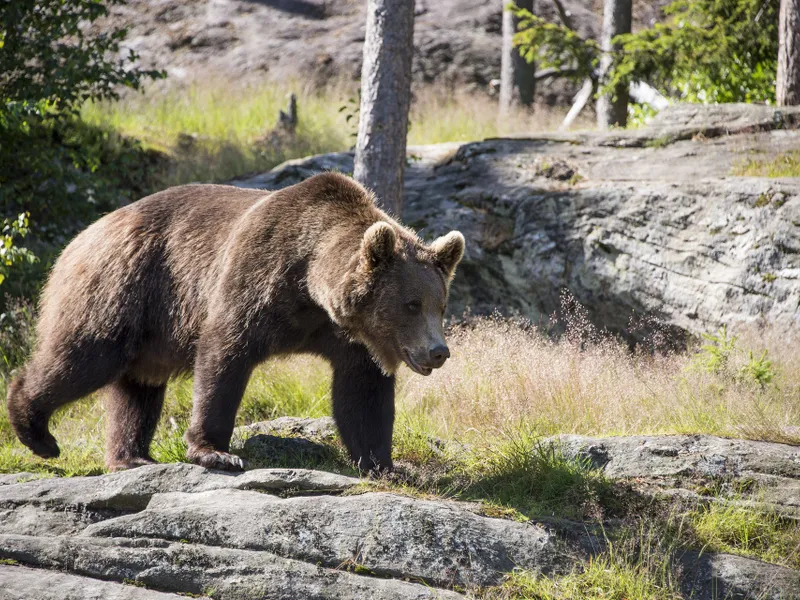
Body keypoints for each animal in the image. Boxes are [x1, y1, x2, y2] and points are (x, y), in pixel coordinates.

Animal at [6, 172, 466, 474]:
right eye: (411, 304)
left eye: (440, 304)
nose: (438, 352)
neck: (310, 286)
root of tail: (85, 233)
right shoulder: (255, 279)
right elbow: (224, 355)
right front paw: (216, 451)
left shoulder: (348, 337)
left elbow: (363, 393)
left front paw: (383, 464)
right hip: (123, 287)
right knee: (85, 356)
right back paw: (36, 430)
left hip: (149, 329)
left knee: (138, 387)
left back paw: (131, 456)